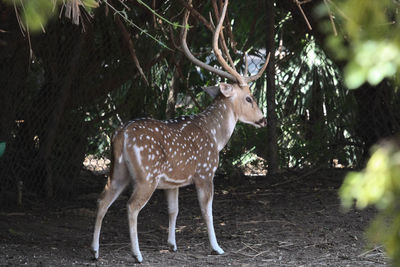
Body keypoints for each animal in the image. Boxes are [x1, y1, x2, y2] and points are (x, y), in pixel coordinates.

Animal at [92, 0, 270, 264]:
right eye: (249, 98)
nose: (263, 119)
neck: (215, 137)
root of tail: (120, 135)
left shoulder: (173, 182)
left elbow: (173, 210)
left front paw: (172, 244)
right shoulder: (205, 172)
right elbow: (206, 210)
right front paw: (217, 247)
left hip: (118, 171)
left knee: (102, 199)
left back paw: (94, 251)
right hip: (146, 175)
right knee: (131, 206)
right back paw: (137, 254)